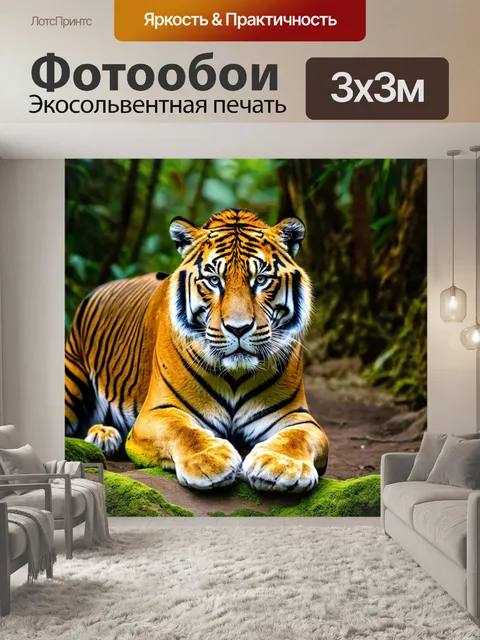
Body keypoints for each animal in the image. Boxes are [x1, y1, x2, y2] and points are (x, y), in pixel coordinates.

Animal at [65, 209, 329, 492]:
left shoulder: (296, 415)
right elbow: (183, 430)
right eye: (214, 280)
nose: (238, 328)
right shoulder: (157, 410)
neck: (235, 376)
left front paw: (281, 465)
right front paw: (210, 460)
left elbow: (297, 436)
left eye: (261, 280)